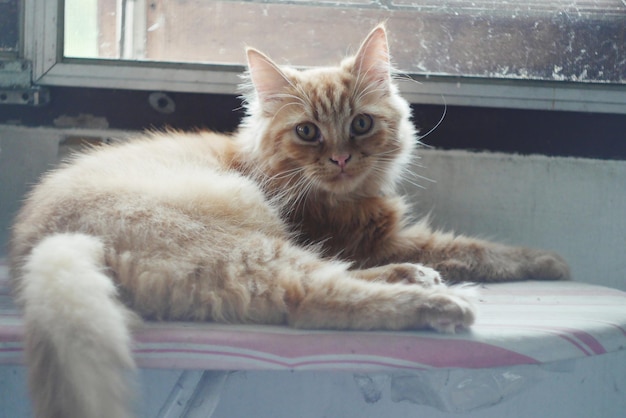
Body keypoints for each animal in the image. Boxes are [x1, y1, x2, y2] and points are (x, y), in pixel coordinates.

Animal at [9, 25, 568, 418]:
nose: (341, 158)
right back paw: (438, 300)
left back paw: (417, 279)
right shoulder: (376, 238)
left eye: (360, 124)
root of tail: (49, 241)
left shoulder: (375, 241)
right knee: (315, 296)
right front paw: (550, 262)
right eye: (307, 132)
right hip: (247, 241)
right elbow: (477, 248)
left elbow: (466, 250)